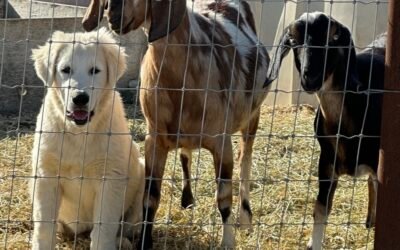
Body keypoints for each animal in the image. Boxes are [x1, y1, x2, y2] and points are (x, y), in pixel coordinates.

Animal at [30, 28, 145, 249]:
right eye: (66, 70)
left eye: (95, 71)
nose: (80, 98)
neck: (79, 133)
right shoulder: (46, 175)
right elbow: (44, 226)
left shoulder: (110, 178)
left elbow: (103, 228)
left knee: (128, 226)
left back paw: (123, 241)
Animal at [264, 11, 386, 248]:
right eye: (293, 40)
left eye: (334, 38)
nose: (310, 77)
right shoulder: (327, 161)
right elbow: (321, 208)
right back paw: (369, 221)